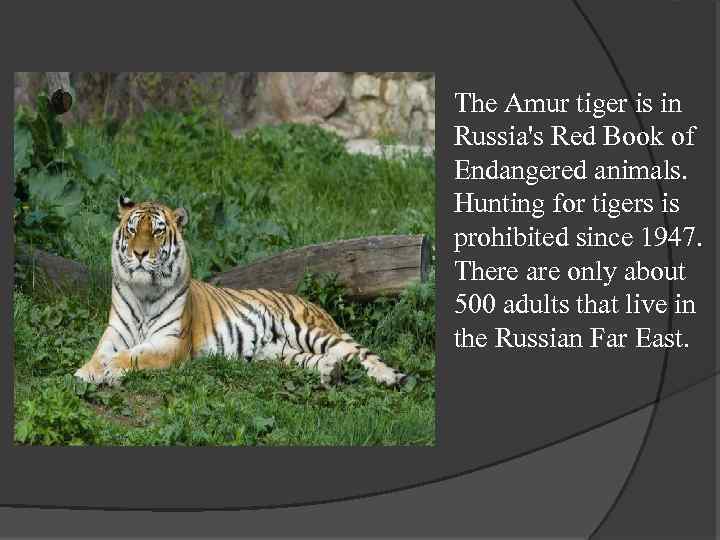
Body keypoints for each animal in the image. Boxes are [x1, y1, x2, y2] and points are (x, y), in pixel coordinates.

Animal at [74, 197, 407, 388]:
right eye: (132, 230)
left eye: (157, 231)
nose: (140, 253)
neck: (144, 292)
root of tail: (316, 306)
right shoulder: (115, 334)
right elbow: (99, 354)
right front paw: (85, 372)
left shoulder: (171, 342)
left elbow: (134, 356)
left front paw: (110, 370)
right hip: (278, 352)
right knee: (326, 359)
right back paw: (330, 372)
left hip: (309, 331)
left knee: (358, 354)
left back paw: (389, 378)